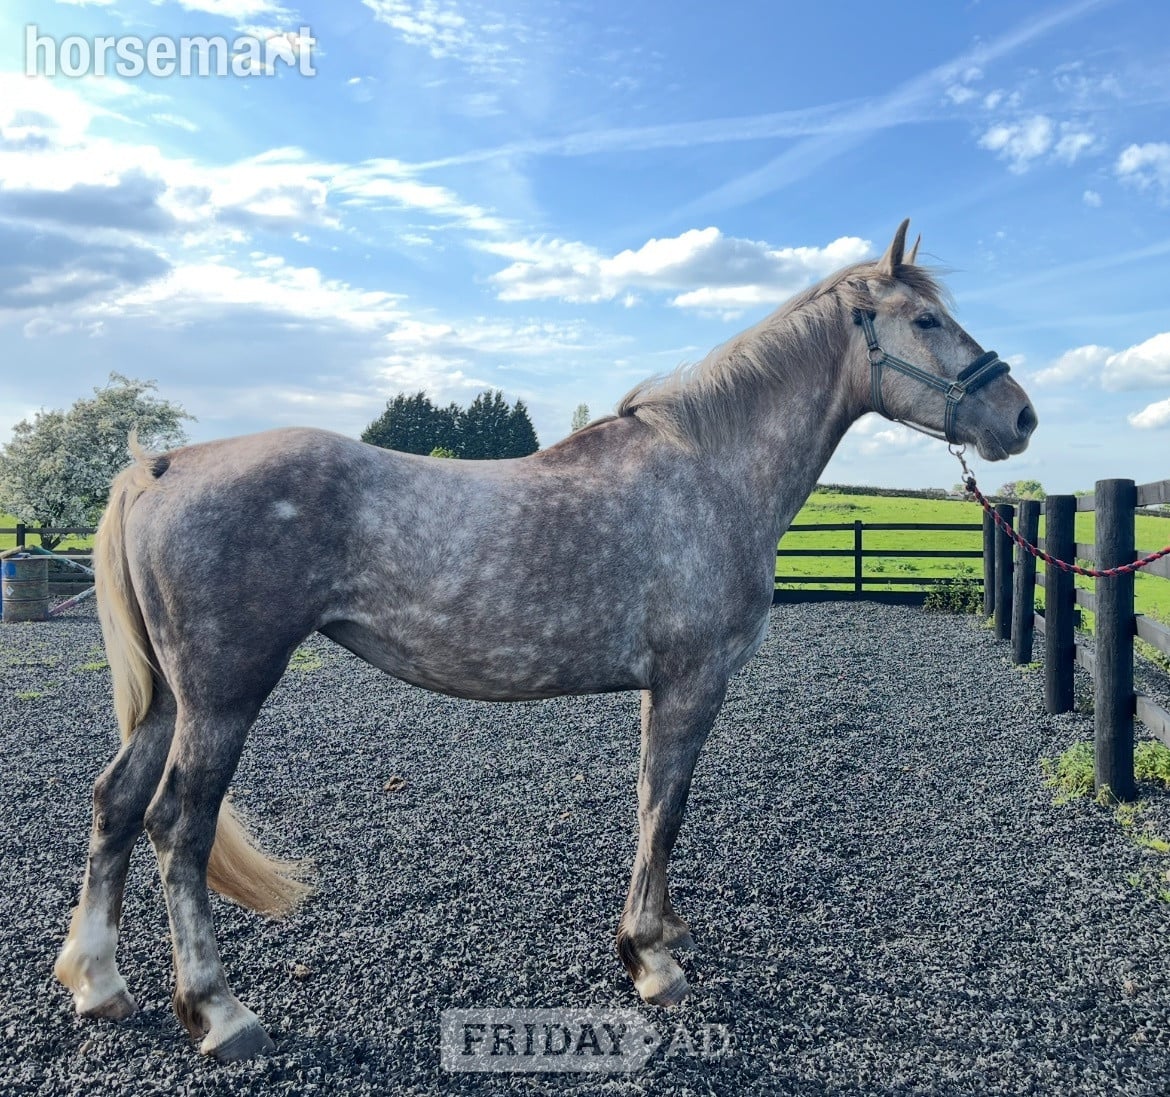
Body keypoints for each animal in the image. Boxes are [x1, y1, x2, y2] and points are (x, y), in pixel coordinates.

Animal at [54, 220, 1037, 1061]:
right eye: (927, 320)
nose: (1021, 416)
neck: (710, 473)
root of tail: (161, 466)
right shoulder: (692, 681)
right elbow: (664, 807)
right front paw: (650, 959)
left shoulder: (667, 688)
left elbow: (655, 803)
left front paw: (661, 933)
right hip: (223, 694)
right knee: (178, 825)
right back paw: (219, 1012)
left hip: (171, 699)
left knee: (114, 803)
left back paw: (101, 983)